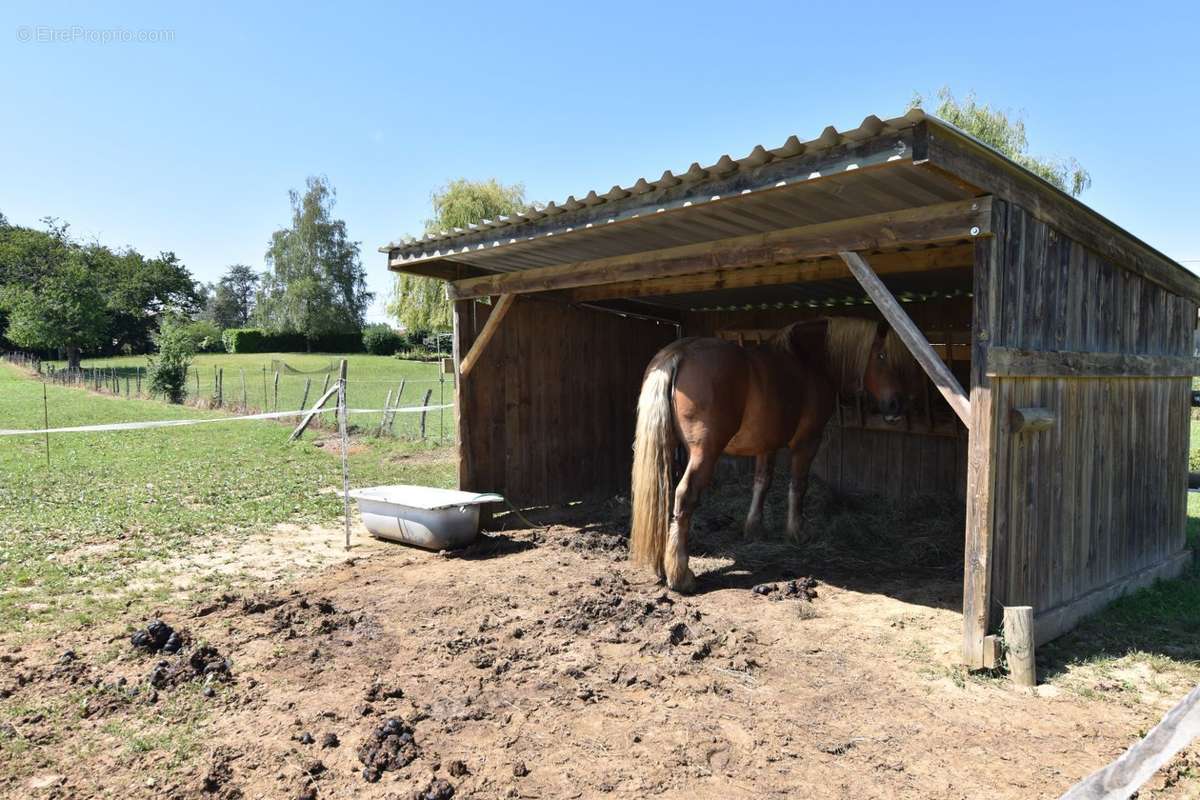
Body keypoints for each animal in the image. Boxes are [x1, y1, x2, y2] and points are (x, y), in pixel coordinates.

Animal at [628, 316, 907, 592]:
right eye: (882, 355)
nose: (896, 406)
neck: (808, 361)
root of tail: (680, 352)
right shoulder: (808, 441)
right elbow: (798, 485)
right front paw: (797, 532)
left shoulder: (766, 445)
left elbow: (762, 483)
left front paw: (754, 529)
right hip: (704, 453)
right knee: (685, 496)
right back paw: (681, 576)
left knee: (662, 495)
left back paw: (661, 566)